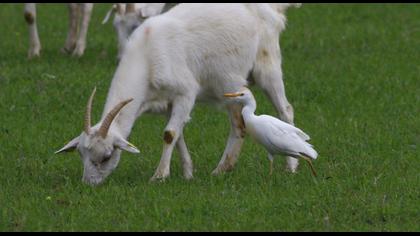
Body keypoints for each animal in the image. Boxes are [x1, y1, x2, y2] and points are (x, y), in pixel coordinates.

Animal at [56, 2, 302, 185]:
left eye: (106, 156)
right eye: (81, 154)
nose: (88, 184)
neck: (146, 57)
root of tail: (273, 11)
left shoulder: (186, 93)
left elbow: (169, 134)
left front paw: (159, 176)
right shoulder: (165, 103)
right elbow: (178, 134)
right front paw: (188, 173)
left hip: (266, 64)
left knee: (285, 110)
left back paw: (290, 167)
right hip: (231, 86)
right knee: (238, 125)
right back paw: (222, 169)